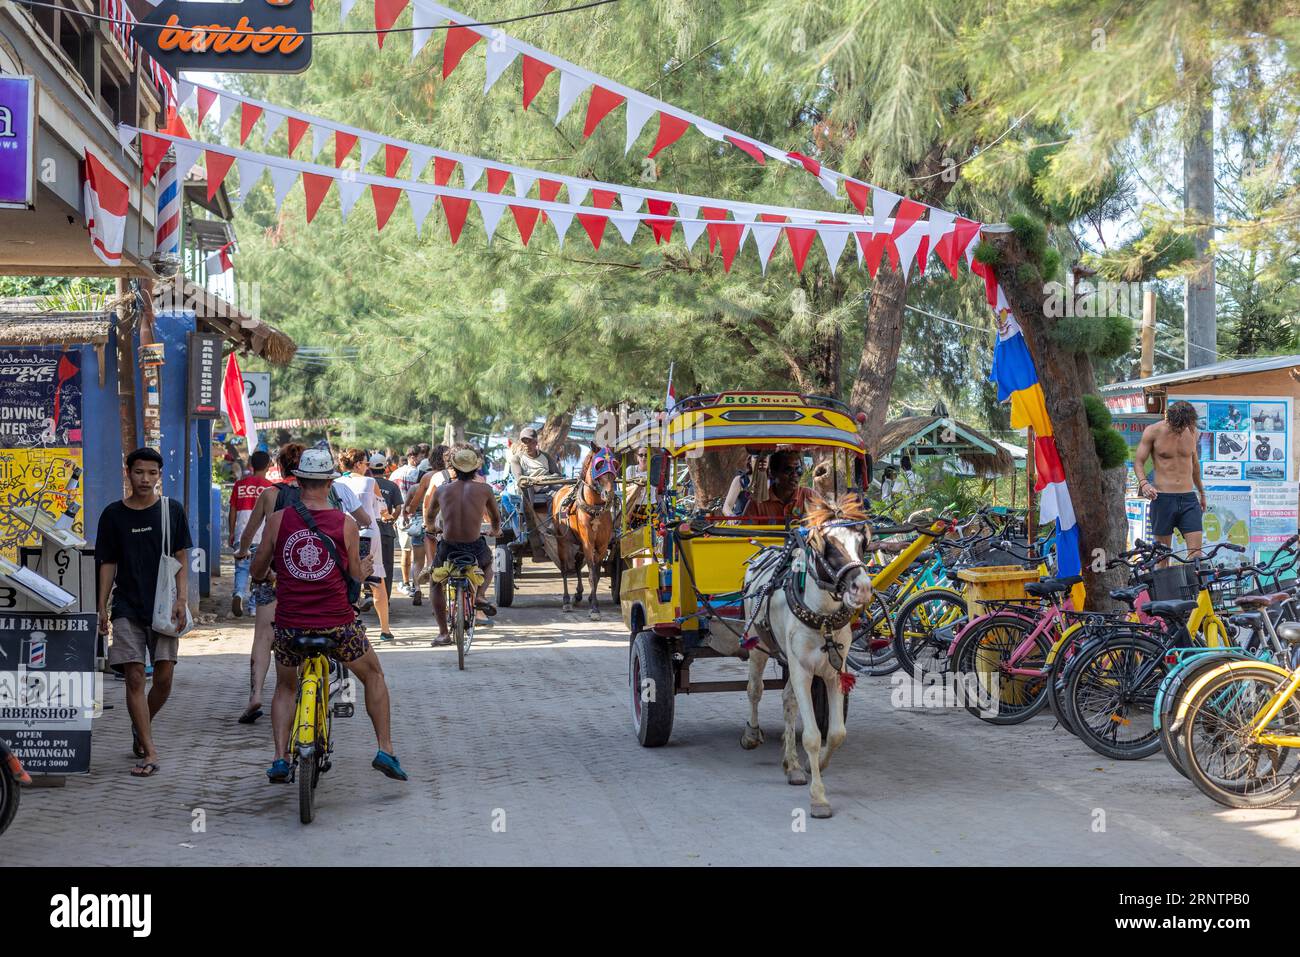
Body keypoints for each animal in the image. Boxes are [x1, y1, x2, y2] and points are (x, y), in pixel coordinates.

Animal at [551, 442, 616, 616]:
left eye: (615, 464)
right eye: (599, 464)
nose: (609, 494)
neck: (595, 509)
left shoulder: (601, 545)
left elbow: (596, 573)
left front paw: (591, 599)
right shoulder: (588, 542)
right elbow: (592, 574)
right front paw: (594, 609)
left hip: (579, 543)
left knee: (578, 563)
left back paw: (579, 594)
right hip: (562, 541)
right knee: (565, 568)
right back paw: (566, 600)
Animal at [743, 496, 873, 816]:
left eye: (861, 544)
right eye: (829, 546)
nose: (863, 588)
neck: (823, 618)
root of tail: (763, 552)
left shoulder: (833, 671)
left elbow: (836, 733)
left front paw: (816, 766)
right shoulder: (802, 670)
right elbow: (812, 736)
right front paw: (819, 797)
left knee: (788, 701)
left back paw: (792, 765)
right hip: (757, 646)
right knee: (755, 690)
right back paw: (751, 733)